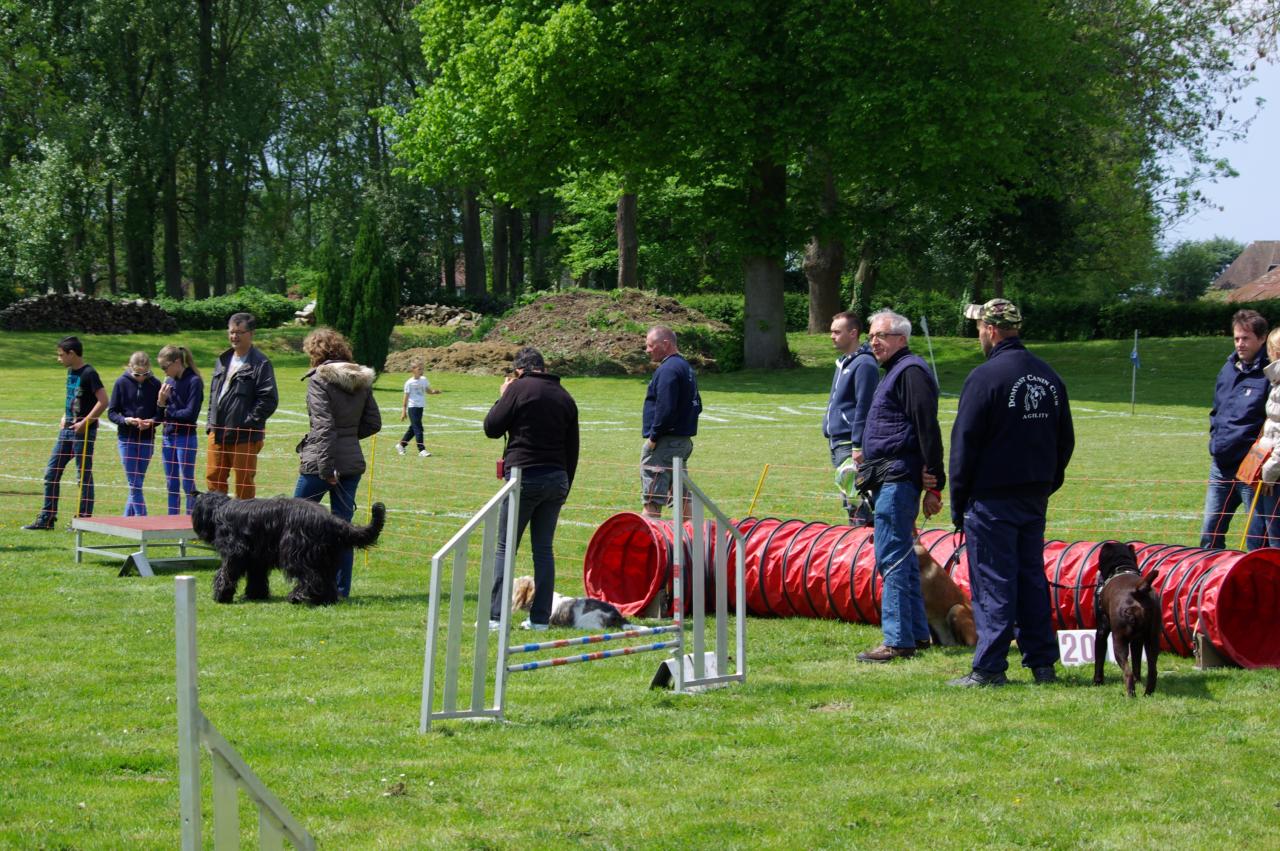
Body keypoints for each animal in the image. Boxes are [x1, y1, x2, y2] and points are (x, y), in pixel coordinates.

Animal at [190, 491, 384, 604]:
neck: (220, 510)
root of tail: (331, 520)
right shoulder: (257, 558)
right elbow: (257, 576)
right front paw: (256, 595)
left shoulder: (235, 554)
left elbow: (226, 573)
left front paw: (221, 595)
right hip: (325, 557)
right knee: (326, 579)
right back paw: (324, 599)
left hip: (297, 551)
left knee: (311, 577)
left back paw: (297, 597)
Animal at [1090, 540, 1162, 696]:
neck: (1122, 567)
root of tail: (1139, 591)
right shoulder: (1137, 640)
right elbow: (1136, 663)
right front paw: (1138, 680)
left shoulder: (1101, 631)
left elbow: (1099, 658)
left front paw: (1097, 682)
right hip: (1152, 639)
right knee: (1152, 671)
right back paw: (1147, 694)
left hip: (1119, 640)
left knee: (1127, 672)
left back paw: (1130, 695)